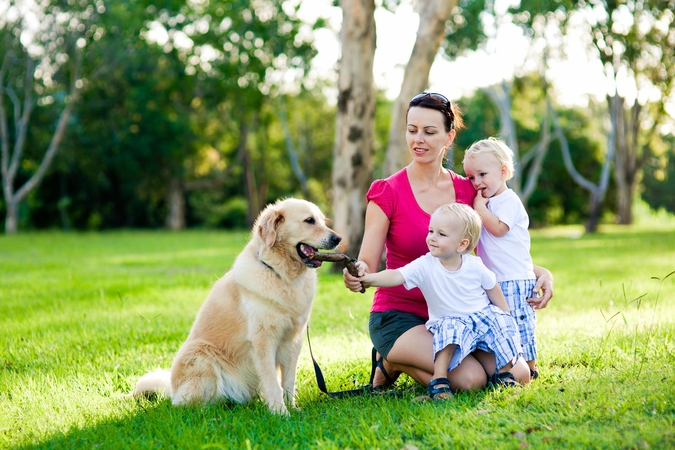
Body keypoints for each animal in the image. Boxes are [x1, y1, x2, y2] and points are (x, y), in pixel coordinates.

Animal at [133, 199, 344, 416]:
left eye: (322, 221)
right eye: (309, 221)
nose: (338, 238)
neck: (282, 276)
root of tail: (173, 389)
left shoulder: (294, 340)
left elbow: (288, 381)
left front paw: (293, 409)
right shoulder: (263, 341)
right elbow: (273, 383)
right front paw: (280, 413)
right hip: (202, 355)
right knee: (185, 405)